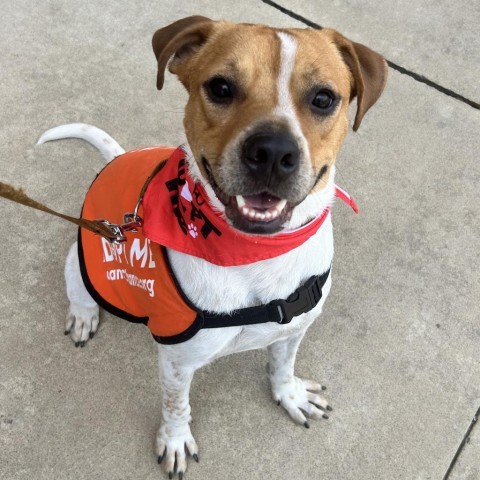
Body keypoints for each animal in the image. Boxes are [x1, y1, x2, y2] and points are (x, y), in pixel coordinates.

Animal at [36, 15, 386, 480]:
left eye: (324, 98)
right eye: (221, 87)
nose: (272, 152)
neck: (255, 253)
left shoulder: (294, 328)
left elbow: (282, 364)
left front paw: (289, 394)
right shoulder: (177, 361)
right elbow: (176, 406)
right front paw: (174, 440)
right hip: (80, 263)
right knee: (80, 292)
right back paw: (83, 314)